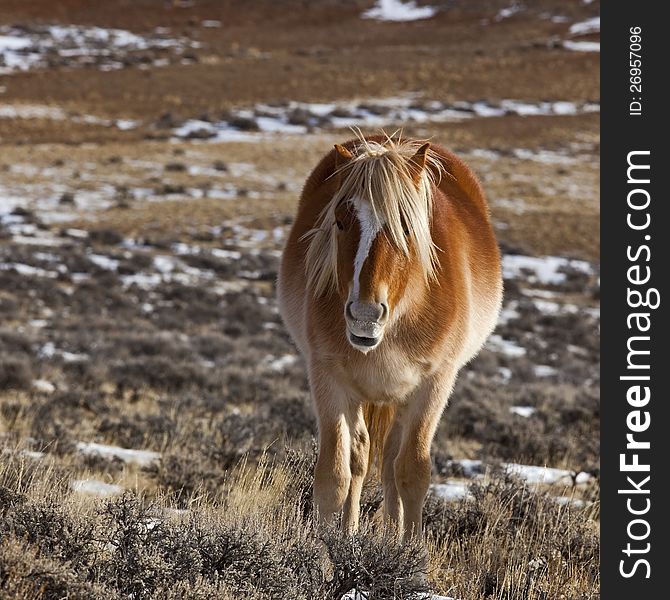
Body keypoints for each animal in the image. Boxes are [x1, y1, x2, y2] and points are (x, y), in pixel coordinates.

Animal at [278, 132, 504, 540]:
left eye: (406, 226)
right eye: (340, 221)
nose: (364, 315)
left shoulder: (434, 384)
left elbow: (412, 473)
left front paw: (410, 552)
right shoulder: (328, 379)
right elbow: (334, 476)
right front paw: (322, 550)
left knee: (390, 463)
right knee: (362, 458)